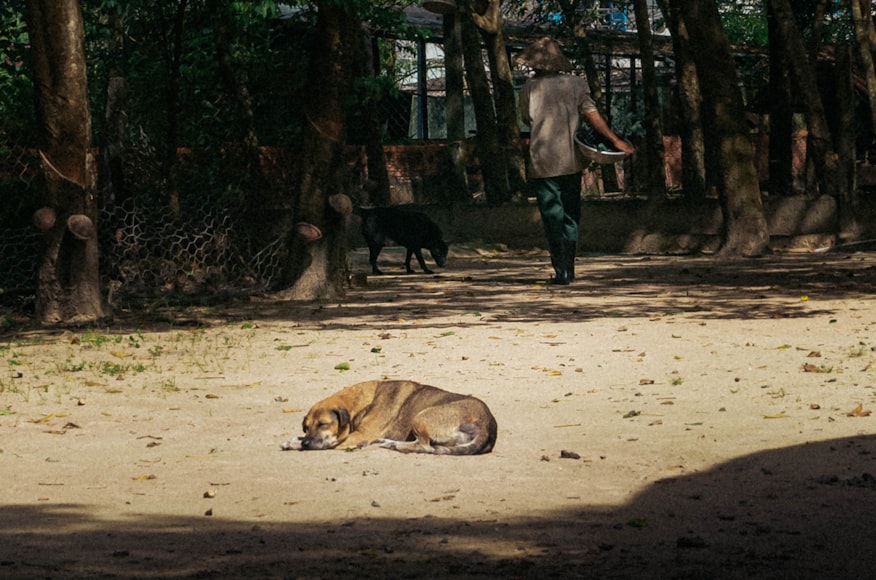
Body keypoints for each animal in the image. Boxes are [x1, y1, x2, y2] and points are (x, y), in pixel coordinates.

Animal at [282, 380, 496, 458]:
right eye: (306, 427)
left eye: (323, 424)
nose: (307, 442)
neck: (365, 400)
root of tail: (487, 424)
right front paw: (295, 440)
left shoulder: (357, 436)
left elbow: (330, 443)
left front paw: (296, 444)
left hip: (420, 417)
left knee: (424, 445)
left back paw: (394, 445)